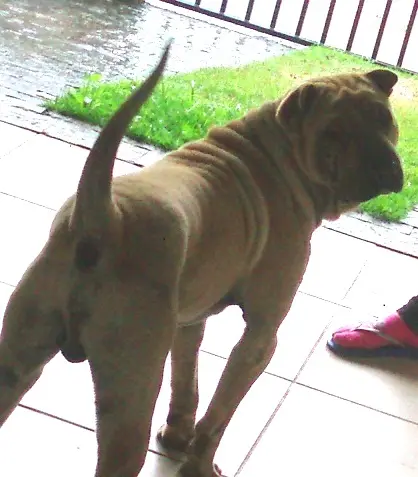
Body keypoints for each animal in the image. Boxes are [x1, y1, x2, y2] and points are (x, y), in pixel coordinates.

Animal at [0, 41, 403, 477]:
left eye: (383, 117)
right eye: (334, 133)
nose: (386, 166)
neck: (278, 153)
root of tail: (103, 217)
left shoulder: (190, 320)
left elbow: (187, 380)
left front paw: (178, 437)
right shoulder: (260, 337)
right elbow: (219, 414)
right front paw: (199, 465)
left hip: (19, 359)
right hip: (130, 393)